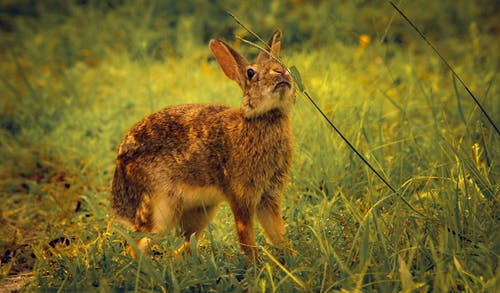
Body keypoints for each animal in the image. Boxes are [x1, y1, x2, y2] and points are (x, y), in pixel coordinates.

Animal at [111, 30, 294, 258]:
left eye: (281, 63)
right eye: (251, 73)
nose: (282, 71)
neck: (263, 117)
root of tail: (120, 166)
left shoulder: (269, 197)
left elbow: (277, 232)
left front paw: (293, 257)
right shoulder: (242, 196)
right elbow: (246, 238)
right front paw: (255, 264)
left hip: (201, 211)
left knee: (183, 245)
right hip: (161, 208)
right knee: (137, 244)